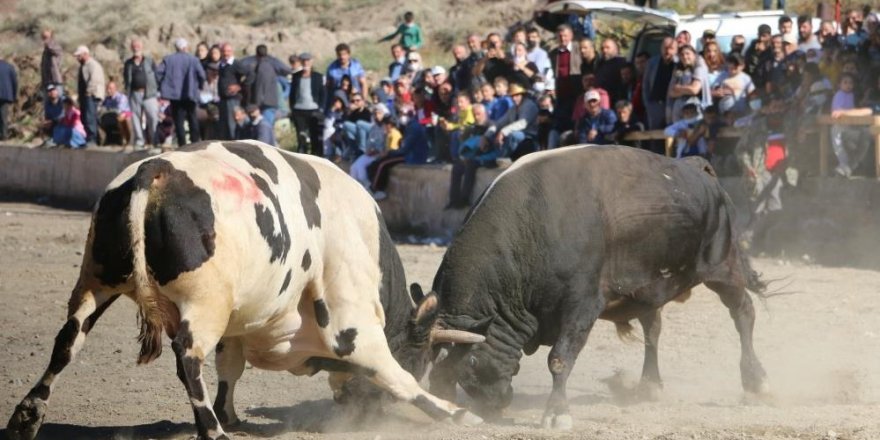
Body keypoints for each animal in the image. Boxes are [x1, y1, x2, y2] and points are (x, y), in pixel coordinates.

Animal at [5, 141, 482, 440]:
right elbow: (395, 375)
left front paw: (232, 414)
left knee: (67, 342)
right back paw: (211, 431)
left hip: (95, 281)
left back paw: (27, 415)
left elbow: (230, 368)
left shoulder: (237, 327)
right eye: (422, 356)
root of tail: (155, 171)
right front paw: (454, 412)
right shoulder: (352, 322)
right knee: (188, 358)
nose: (362, 412)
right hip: (204, 302)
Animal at [410, 146, 768, 428]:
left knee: (744, 313)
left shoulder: (581, 305)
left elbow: (560, 358)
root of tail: (697, 168)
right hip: (646, 289)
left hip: (722, 267)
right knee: (653, 328)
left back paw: (755, 382)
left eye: (470, 361)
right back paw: (649, 385)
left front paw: (557, 414)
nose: (489, 406)